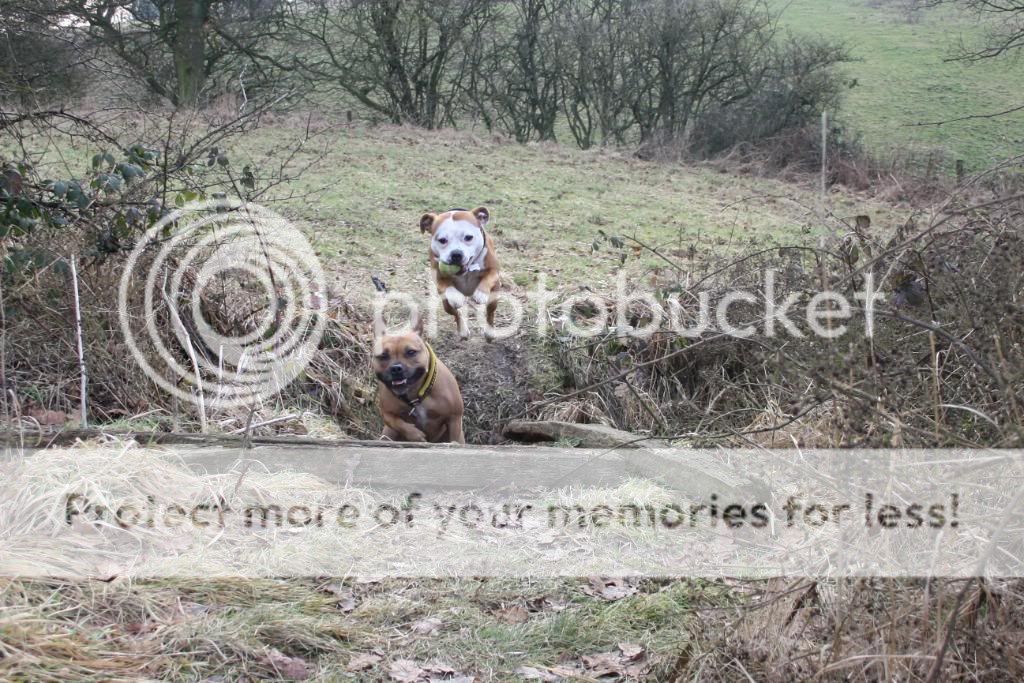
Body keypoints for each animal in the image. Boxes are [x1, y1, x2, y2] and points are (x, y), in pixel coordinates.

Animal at [374, 313, 466, 446]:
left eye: (411, 352)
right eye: (383, 356)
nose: (396, 368)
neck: (416, 395)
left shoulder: (454, 417)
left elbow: (454, 437)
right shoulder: (387, 412)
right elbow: (396, 422)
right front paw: (415, 435)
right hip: (387, 433)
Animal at [413, 205, 497, 339]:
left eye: (468, 237)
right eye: (442, 240)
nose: (456, 254)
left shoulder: (495, 270)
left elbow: (489, 277)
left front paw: (481, 293)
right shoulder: (437, 275)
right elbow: (446, 285)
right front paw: (455, 296)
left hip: (494, 297)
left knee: (490, 312)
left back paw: (489, 331)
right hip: (446, 304)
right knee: (456, 313)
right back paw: (462, 330)